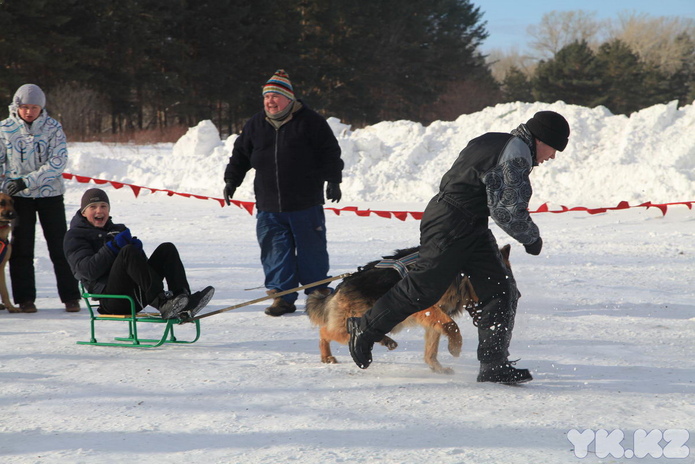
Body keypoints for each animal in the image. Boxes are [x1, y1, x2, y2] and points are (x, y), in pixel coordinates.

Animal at [308, 246, 512, 374]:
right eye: (502, 279)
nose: (515, 296)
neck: (461, 272)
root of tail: (342, 285)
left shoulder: (434, 318)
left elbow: (432, 347)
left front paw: (437, 368)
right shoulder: (429, 308)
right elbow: (452, 326)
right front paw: (455, 347)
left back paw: (385, 341)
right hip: (355, 323)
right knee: (326, 331)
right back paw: (328, 355)